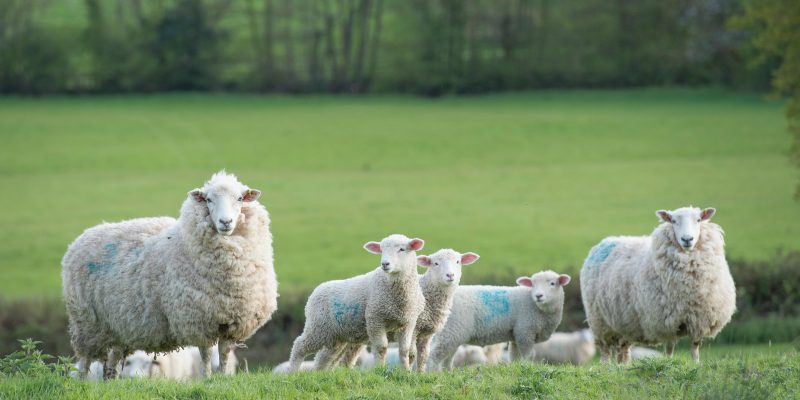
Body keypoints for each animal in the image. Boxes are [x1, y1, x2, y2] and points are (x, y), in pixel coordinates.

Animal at [62, 171, 277, 379]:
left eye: (240, 198)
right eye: (208, 199)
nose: (226, 222)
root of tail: (81, 238)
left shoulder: (232, 322)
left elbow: (224, 353)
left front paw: (223, 378)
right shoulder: (197, 320)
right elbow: (206, 354)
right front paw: (207, 379)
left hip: (117, 328)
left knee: (111, 364)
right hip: (86, 323)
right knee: (84, 362)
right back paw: (82, 383)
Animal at [287, 234, 426, 372]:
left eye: (402, 249)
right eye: (381, 250)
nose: (385, 264)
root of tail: (314, 292)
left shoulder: (408, 323)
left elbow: (404, 350)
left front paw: (406, 371)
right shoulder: (375, 318)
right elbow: (381, 347)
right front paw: (379, 370)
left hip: (335, 336)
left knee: (324, 358)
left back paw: (319, 373)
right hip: (318, 327)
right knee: (299, 346)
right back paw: (292, 372)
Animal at [333, 249, 480, 371]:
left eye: (458, 261)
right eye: (436, 263)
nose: (450, 275)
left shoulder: (426, 334)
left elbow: (423, 356)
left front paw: (421, 374)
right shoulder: (414, 328)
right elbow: (411, 354)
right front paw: (408, 372)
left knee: (345, 358)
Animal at [427, 270, 571, 371]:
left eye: (552, 283)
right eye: (533, 284)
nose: (539, 296)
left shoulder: (517, 335)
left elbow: (514, 356)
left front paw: (517, 368)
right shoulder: (525, 331)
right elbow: (528, 355)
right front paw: (526, 368)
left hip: (451, 332)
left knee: (447, 357)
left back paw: (447, 373)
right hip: (452, 330)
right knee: (435, 355)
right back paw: (431, 374)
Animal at [580, 206, 736, 363]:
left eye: (698, 220)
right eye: (673, 221)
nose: (687, 239)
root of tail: (605, 241)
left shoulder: (699, 319)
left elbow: (695, 346)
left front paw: (696, 364)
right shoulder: (666, 320)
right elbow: (670, 347)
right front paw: (669, 362)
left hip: (625, 323)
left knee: (623, 349)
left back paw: (623, 366)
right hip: (599, 320)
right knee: (605, 349)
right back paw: (606, 365)